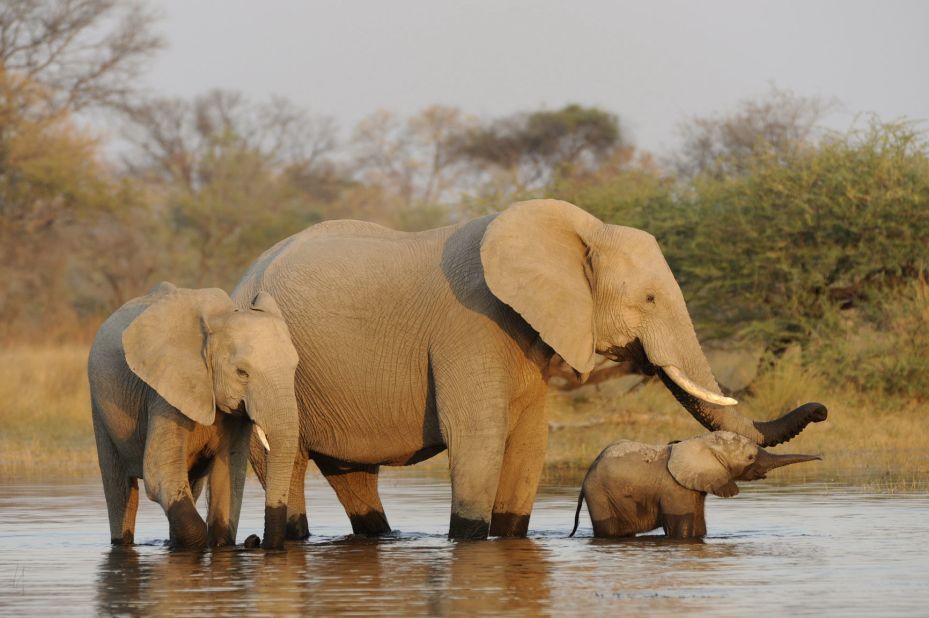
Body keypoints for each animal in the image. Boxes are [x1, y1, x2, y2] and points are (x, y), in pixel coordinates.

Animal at [89, 282, 300, 548]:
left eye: (295, 368)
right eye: (242, 373)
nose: (255, 540)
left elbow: (228, 476)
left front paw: (220, 544)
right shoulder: (166, 390)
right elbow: (157, 472)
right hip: (100, 406)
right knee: (120, 491)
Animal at [564, 430, 820, 536]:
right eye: (750, 457)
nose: (820, 458)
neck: (699, 441)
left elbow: (699, 527)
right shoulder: (675, 489)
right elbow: (683, 528)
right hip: (599, 495)